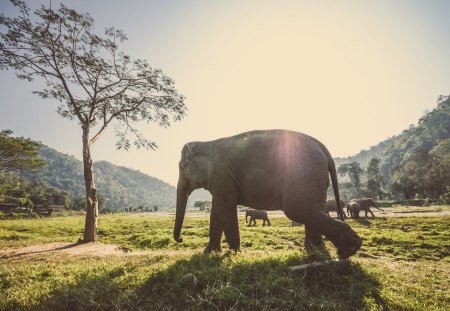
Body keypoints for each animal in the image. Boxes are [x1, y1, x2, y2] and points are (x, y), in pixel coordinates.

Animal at [172, 130, 362, 260]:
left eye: (181, 167)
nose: (180, 239)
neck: (207, 143)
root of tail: (325, 151)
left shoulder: (222, 176)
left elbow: (225, 206)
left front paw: (233, 252)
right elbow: (218, 210)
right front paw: (210, 252)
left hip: (304, 175)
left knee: (299, 210)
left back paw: (348, 250)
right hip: (315, 179)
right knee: (312, 211)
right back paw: (317, 253)